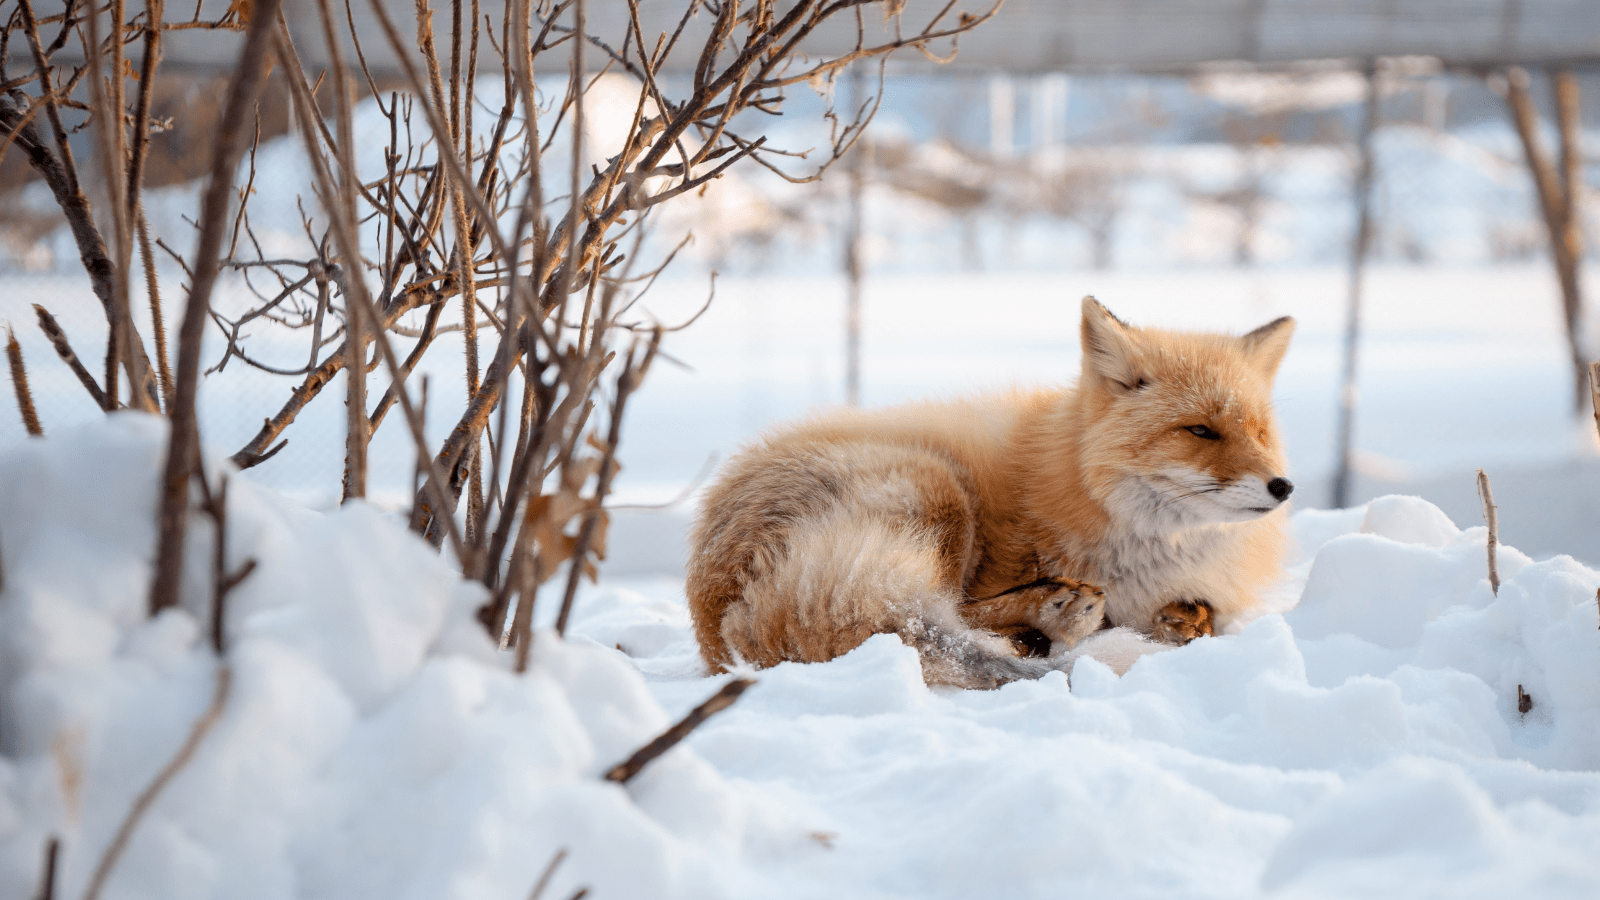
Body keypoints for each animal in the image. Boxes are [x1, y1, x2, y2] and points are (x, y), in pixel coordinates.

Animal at [686, 297, 1295, 689]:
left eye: (1260, 433)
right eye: (1201, 431)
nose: (1282, 487)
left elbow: (1202, 614)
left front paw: (1189, 619)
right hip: (938, 490)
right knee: (934, 612)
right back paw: (1049, 619)